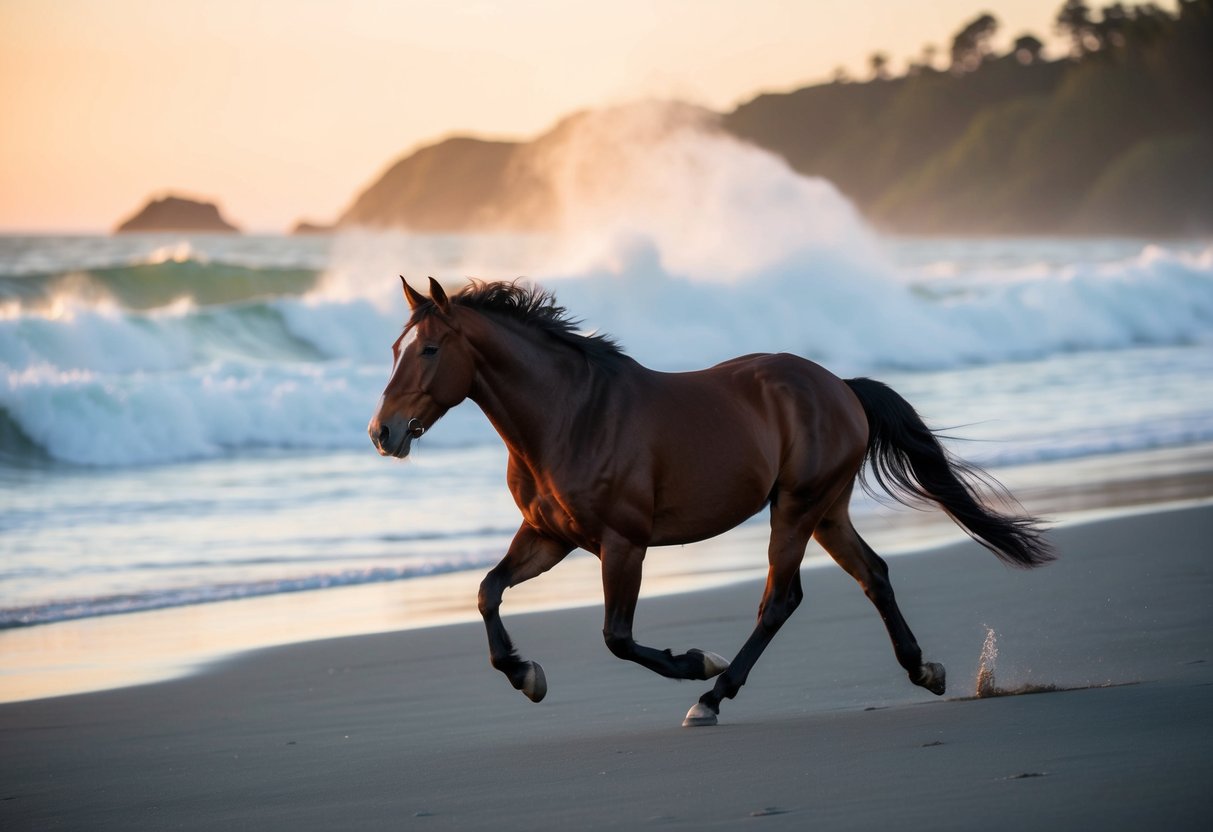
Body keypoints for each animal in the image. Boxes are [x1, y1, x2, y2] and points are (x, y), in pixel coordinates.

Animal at [369, 277, 1053, 727]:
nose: (384, 432)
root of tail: (840, 386)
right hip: (826, 510)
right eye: (396, 350)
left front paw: (697, 663)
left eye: (429, 349)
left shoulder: (623, 544)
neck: (570, 416)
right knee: (874, 575)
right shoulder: (549, 536)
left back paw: (712, 696)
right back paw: (924, 670)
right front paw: (526, 675)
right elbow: (488, 591)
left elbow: (618, 637)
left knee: (780, 599)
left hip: (796, 508)